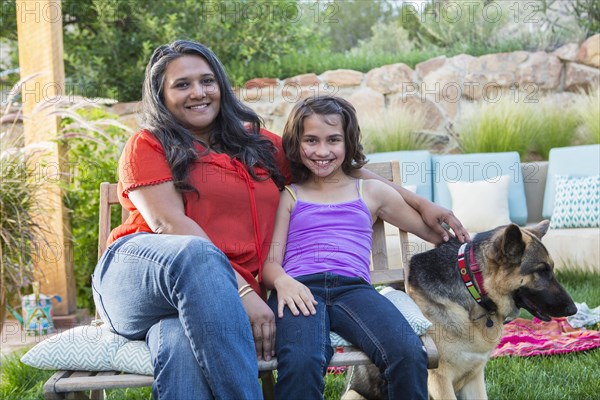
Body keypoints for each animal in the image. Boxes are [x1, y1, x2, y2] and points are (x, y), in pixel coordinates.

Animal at [344, 220, 580, 398]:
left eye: (551, 269)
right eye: (541, 270)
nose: (573, 309)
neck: (473, 290)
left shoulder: (474, 379)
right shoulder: (440, 380)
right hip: (354, 395)